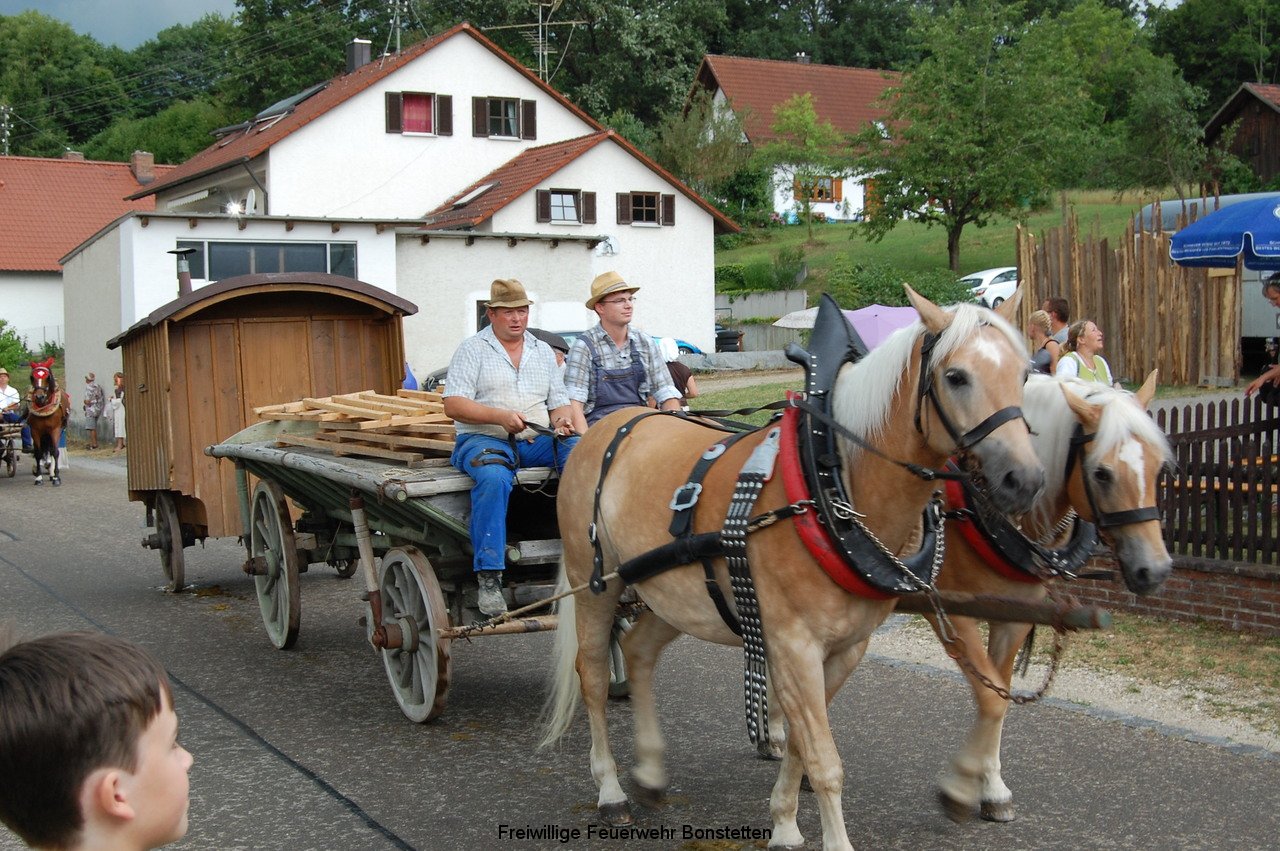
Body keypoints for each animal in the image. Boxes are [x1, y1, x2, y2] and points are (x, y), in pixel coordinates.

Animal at [25, 357, 70, 486]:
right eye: (32, 377)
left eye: (48, 377)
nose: (39, 397)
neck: (43, 406)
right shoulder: (35, 431)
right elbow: (38, 453)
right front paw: (38, 477)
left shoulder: (55, 430)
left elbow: (55, 452)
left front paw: (56, 477)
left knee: (51, 451)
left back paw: (52, 474)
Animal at [541, 288, 1046, 851]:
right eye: (956, 376)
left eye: (1025, 374)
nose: (1024, 480)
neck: (829, 485)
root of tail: (611, 424)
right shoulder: (795, 644)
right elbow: (824, 760)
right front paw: (827, 837)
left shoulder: (845, 648)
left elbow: (804, 744)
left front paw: (783, 823)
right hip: (594, 584)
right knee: (592, 675)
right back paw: (610, 791)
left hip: (672, 594)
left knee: (638, 651)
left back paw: (650, 773)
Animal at [924, 371, 1173, 822]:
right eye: (1102, 473)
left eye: (1158, 466)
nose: (1156, 570)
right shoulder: (950, 611)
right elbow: (990, 698)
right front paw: (960, 786)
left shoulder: (1014, 617)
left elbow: (999, 694)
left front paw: (992, 787)